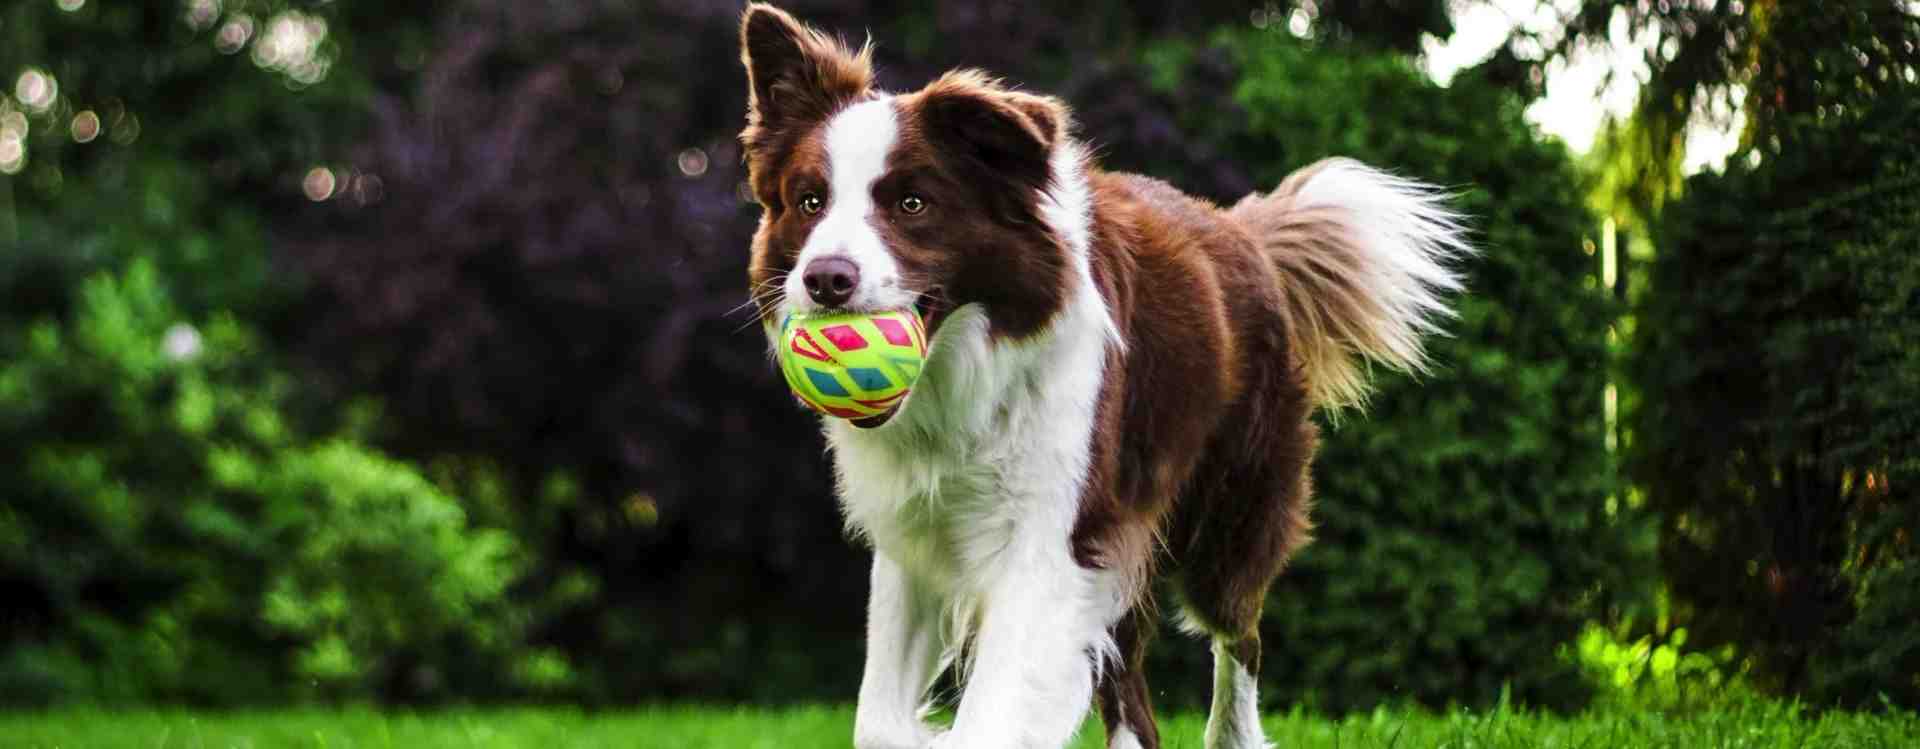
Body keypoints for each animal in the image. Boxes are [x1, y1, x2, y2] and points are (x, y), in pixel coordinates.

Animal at [733, 4, 1466, 741]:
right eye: (810, 201)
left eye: (912, 203)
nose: (825, 279)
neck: (963, 374)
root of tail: (1244, 231)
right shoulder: (915, 533)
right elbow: (879, 721)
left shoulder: (1055, 533)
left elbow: (992, 711)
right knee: (1131, 678)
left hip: (1230, 509)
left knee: (1239, 635)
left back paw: (1232, 732)